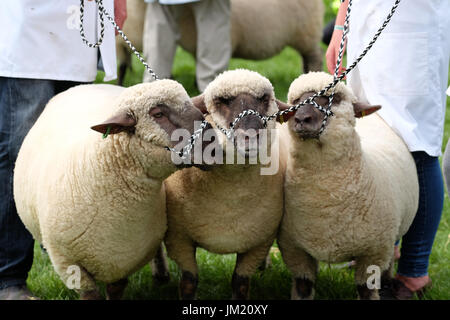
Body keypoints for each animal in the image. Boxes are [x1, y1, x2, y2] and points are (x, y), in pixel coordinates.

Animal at [13, 80, 208, 300]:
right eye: (158, 114)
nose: (213, 141)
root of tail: (84, 86)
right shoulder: (67, 262)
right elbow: (91, 295)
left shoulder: (122, 258)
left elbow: (115, 290)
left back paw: (161, 276)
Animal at [163, 68, 290, 300]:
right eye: (222, 100)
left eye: (264, 99)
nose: (250, 137)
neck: (230, 199)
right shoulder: (178, 239)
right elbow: (188, 282)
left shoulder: (258, 243)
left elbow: (240, 284)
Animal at [276, 72, 420, 300]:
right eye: (294, 102)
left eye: (333, 99)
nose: (301, 119)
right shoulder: (294, 250)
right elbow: (303, 287)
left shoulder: (373, 252)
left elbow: (367, 290)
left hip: (388, 239)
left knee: (388, 262)